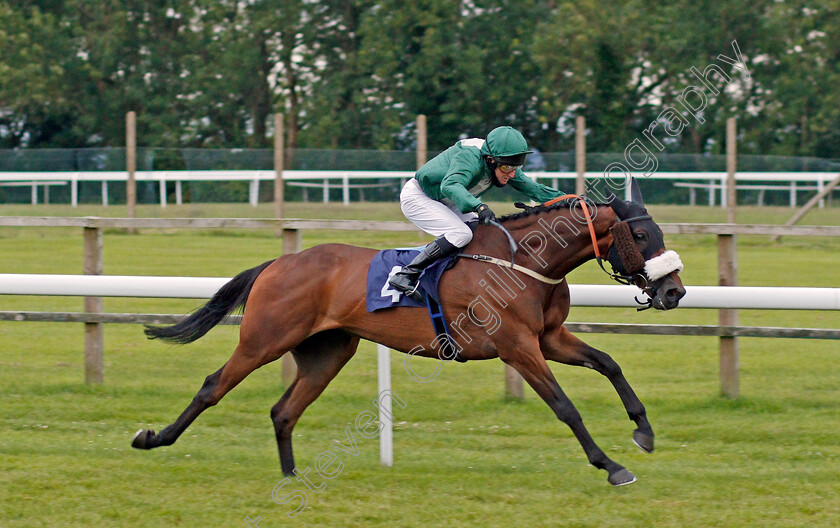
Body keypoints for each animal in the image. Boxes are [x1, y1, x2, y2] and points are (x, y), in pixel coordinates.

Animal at [130, 178, 684, 486]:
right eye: (640, 234)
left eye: (659, 232)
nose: (674, 290)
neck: (524, 261)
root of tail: (278, 263)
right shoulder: (517, 346)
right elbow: (565, 407)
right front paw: (611, 465)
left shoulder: (548, 338)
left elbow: (609, 363)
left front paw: (644, 431)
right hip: (264, 339)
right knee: (212, 386)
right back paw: (153, 438)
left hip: (328, 352)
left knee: (284, 410)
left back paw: (291, 477)